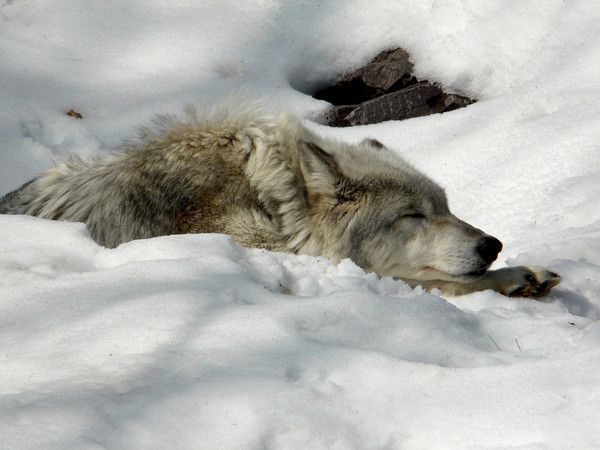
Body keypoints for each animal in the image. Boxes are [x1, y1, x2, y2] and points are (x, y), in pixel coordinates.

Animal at [1, 103, 564, 298]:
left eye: (446, 209)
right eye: (413, 216)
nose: (492, 245)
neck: (275, 203)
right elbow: (429, 280)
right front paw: (514, 277)